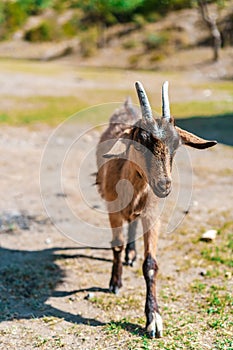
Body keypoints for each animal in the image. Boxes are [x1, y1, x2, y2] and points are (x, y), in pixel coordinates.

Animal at [95, 80, 216, 338]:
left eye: (176, 146)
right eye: (140, 143)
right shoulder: (112, 209)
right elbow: (117, 245)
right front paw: (115, 283)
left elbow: (150, 264)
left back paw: (132, 255)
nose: (164, 185)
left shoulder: (152, 214)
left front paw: (154, 319)